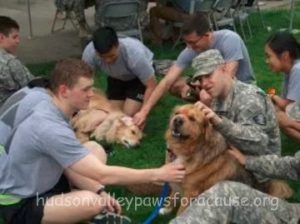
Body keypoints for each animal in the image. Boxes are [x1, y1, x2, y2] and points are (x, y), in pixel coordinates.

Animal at [161, 104, 294, 216]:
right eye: (177, 113)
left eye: (192, 118)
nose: (177, 120)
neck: (187, 151)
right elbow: (172, 196)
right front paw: (166, 209)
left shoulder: (190, 192)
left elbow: (181, 211)